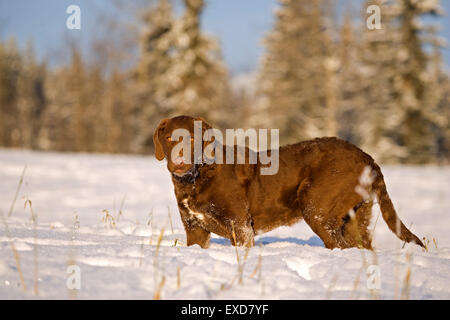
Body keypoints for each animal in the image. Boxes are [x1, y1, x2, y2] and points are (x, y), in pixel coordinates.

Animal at [153, 115, 424, 250]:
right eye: (170, 138)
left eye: (192, 139)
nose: (179, 163)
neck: (194, 179)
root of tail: (366, 156)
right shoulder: (194, 229)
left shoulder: (240, 227)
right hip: (356, 217)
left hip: (317, 208)